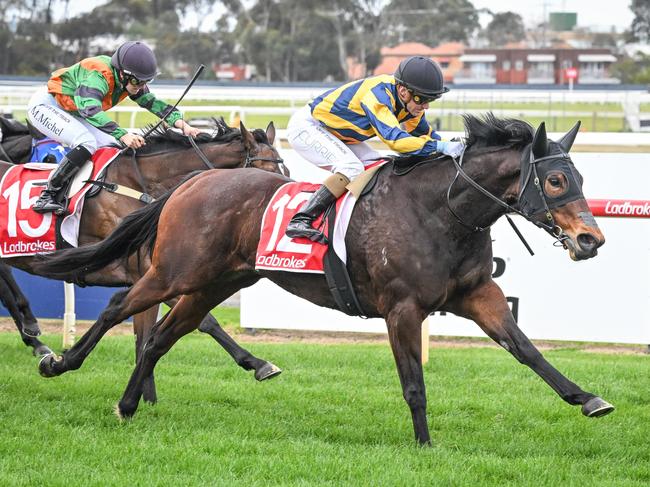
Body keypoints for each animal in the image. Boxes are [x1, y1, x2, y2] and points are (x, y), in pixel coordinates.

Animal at [3, 120, 286, 398]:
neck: (139, 185)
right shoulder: (153, 273)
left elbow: (183, 323)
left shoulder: (158, 274)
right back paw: (34, 334)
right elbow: (202, 321)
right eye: (268, 169)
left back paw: (34, 337)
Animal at [35, 115, 612, 446]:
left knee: (158, 338)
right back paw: (58, 361)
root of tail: (193, 181)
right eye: (555, 179)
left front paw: (587, 398)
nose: (590, 240)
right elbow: (414, 383)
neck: (442, 211)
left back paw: (129, 405)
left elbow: (526, 349)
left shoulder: (477, 294)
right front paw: (425, 446)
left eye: (580, 177)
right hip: (174, 270)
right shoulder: (402, 308)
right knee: (118, 309)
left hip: (214, 283)